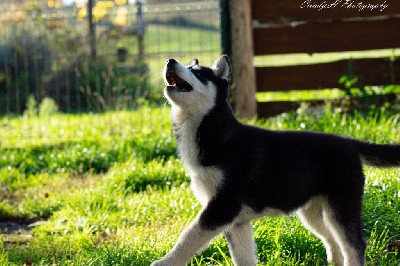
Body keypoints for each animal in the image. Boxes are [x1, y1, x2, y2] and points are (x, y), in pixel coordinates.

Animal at [151, 55, 400, 264]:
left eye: (199, 73)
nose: (170, 61)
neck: (214, 131)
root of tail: (349, 142)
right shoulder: (236, 222)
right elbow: (244, 258)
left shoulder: (223, 207)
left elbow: (188, 236)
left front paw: (164, 262)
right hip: (313, 212)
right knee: (334, 243)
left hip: (341, 206)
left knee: (354, 245)